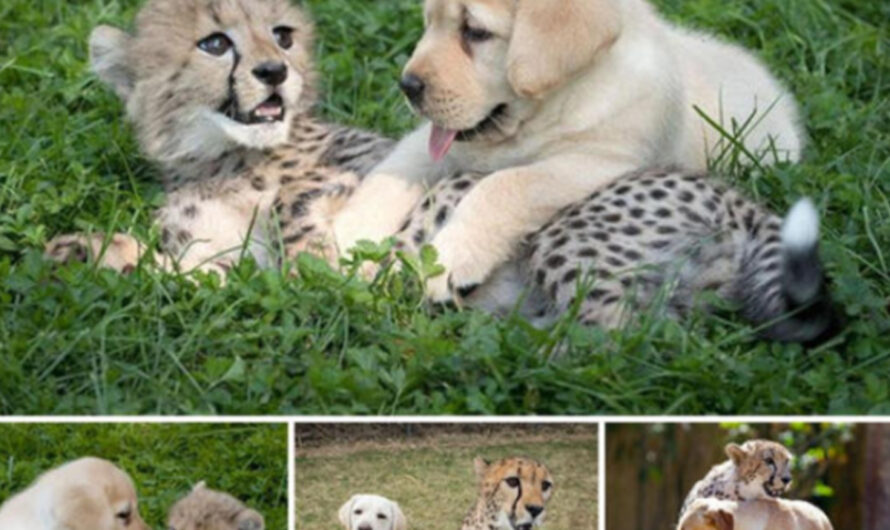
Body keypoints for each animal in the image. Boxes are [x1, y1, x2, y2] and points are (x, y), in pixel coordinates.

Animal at [45, 0, 390, 274]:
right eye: (215, 44)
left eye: (283, 36)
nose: (274, 71)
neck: (218, 161)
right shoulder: (228, 261)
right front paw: (88, 250)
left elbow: (293, 196)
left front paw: (308, 261)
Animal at [332, 0, 804, 300]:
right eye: (429, 22)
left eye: (475, 32)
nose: (407, 86)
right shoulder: (436, 142)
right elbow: (390, 175)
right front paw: (344, 237)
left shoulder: (598, 163)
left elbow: (506, 185)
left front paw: (450, 259)